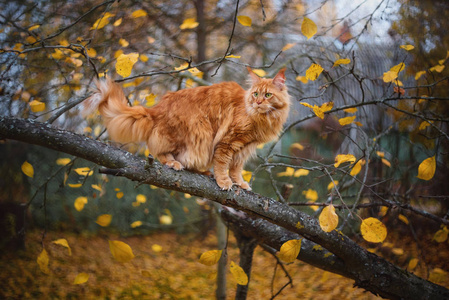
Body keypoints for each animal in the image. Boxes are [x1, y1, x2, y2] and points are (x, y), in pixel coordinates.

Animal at [85, 68, 290, 190]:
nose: (258, 102)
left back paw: (202, 172)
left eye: (268, 95)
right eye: (255, 94)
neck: (260, 118)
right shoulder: (228, 142)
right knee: (159, 152)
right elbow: (223, 165)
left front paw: (239, 183)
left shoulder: (244, 147)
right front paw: (224, 182)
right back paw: (173, 163)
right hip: (195, 132)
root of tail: (156, 109)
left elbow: (236, 168)